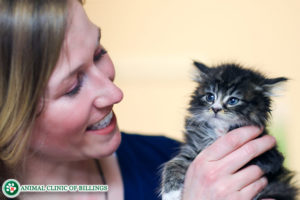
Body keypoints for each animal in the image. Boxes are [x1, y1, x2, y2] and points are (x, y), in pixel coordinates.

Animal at [161, 61, 296, 199]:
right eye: (210, 97)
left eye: (233, 100)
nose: (215, 109)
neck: (220, 130)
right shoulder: (192, 149)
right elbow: (173, 163)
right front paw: (171, 194)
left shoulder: (273, 159)